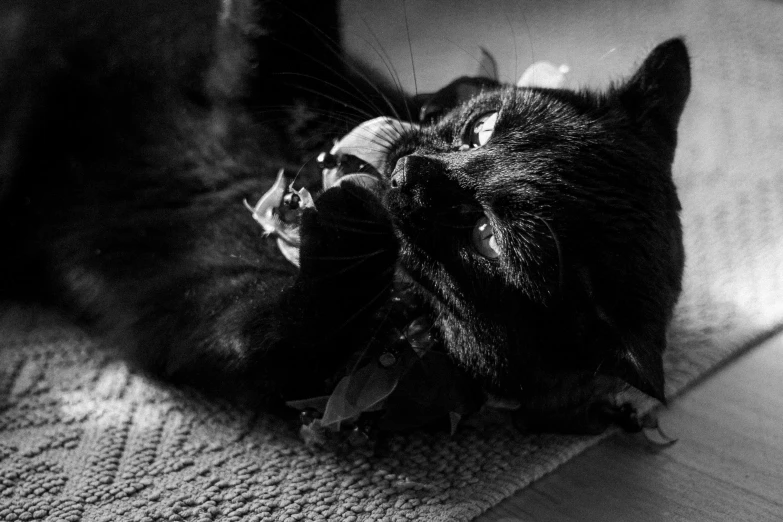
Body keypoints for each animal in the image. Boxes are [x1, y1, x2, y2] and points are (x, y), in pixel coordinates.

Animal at [0, 0, 688, 430]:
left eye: (487, 239)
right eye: (484, 129)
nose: (410, 173)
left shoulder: (222, 322)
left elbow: (289, 323)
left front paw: (352, 213)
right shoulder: (286, 74)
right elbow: (278, 29)